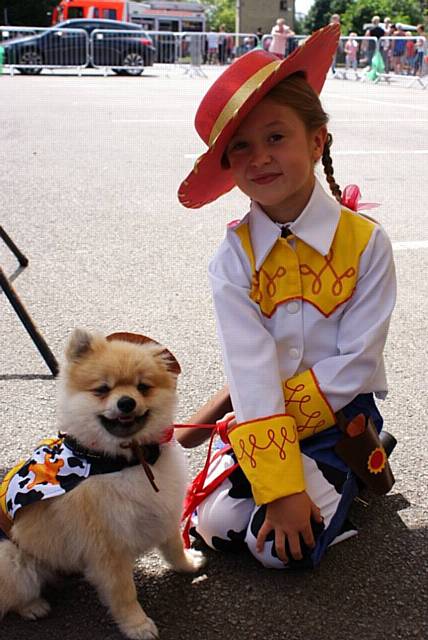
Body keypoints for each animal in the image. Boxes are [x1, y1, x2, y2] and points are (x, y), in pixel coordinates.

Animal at [0, 330, 204, 640]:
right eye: (102, 389)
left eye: (143, 387)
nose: (126, 402)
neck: (123, 461)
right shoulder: (107, 548)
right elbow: (124, 593)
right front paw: (137, 625)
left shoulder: (163, 510)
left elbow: (173, 547)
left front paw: (187, 564)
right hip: (11, 557)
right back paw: (33, 606)